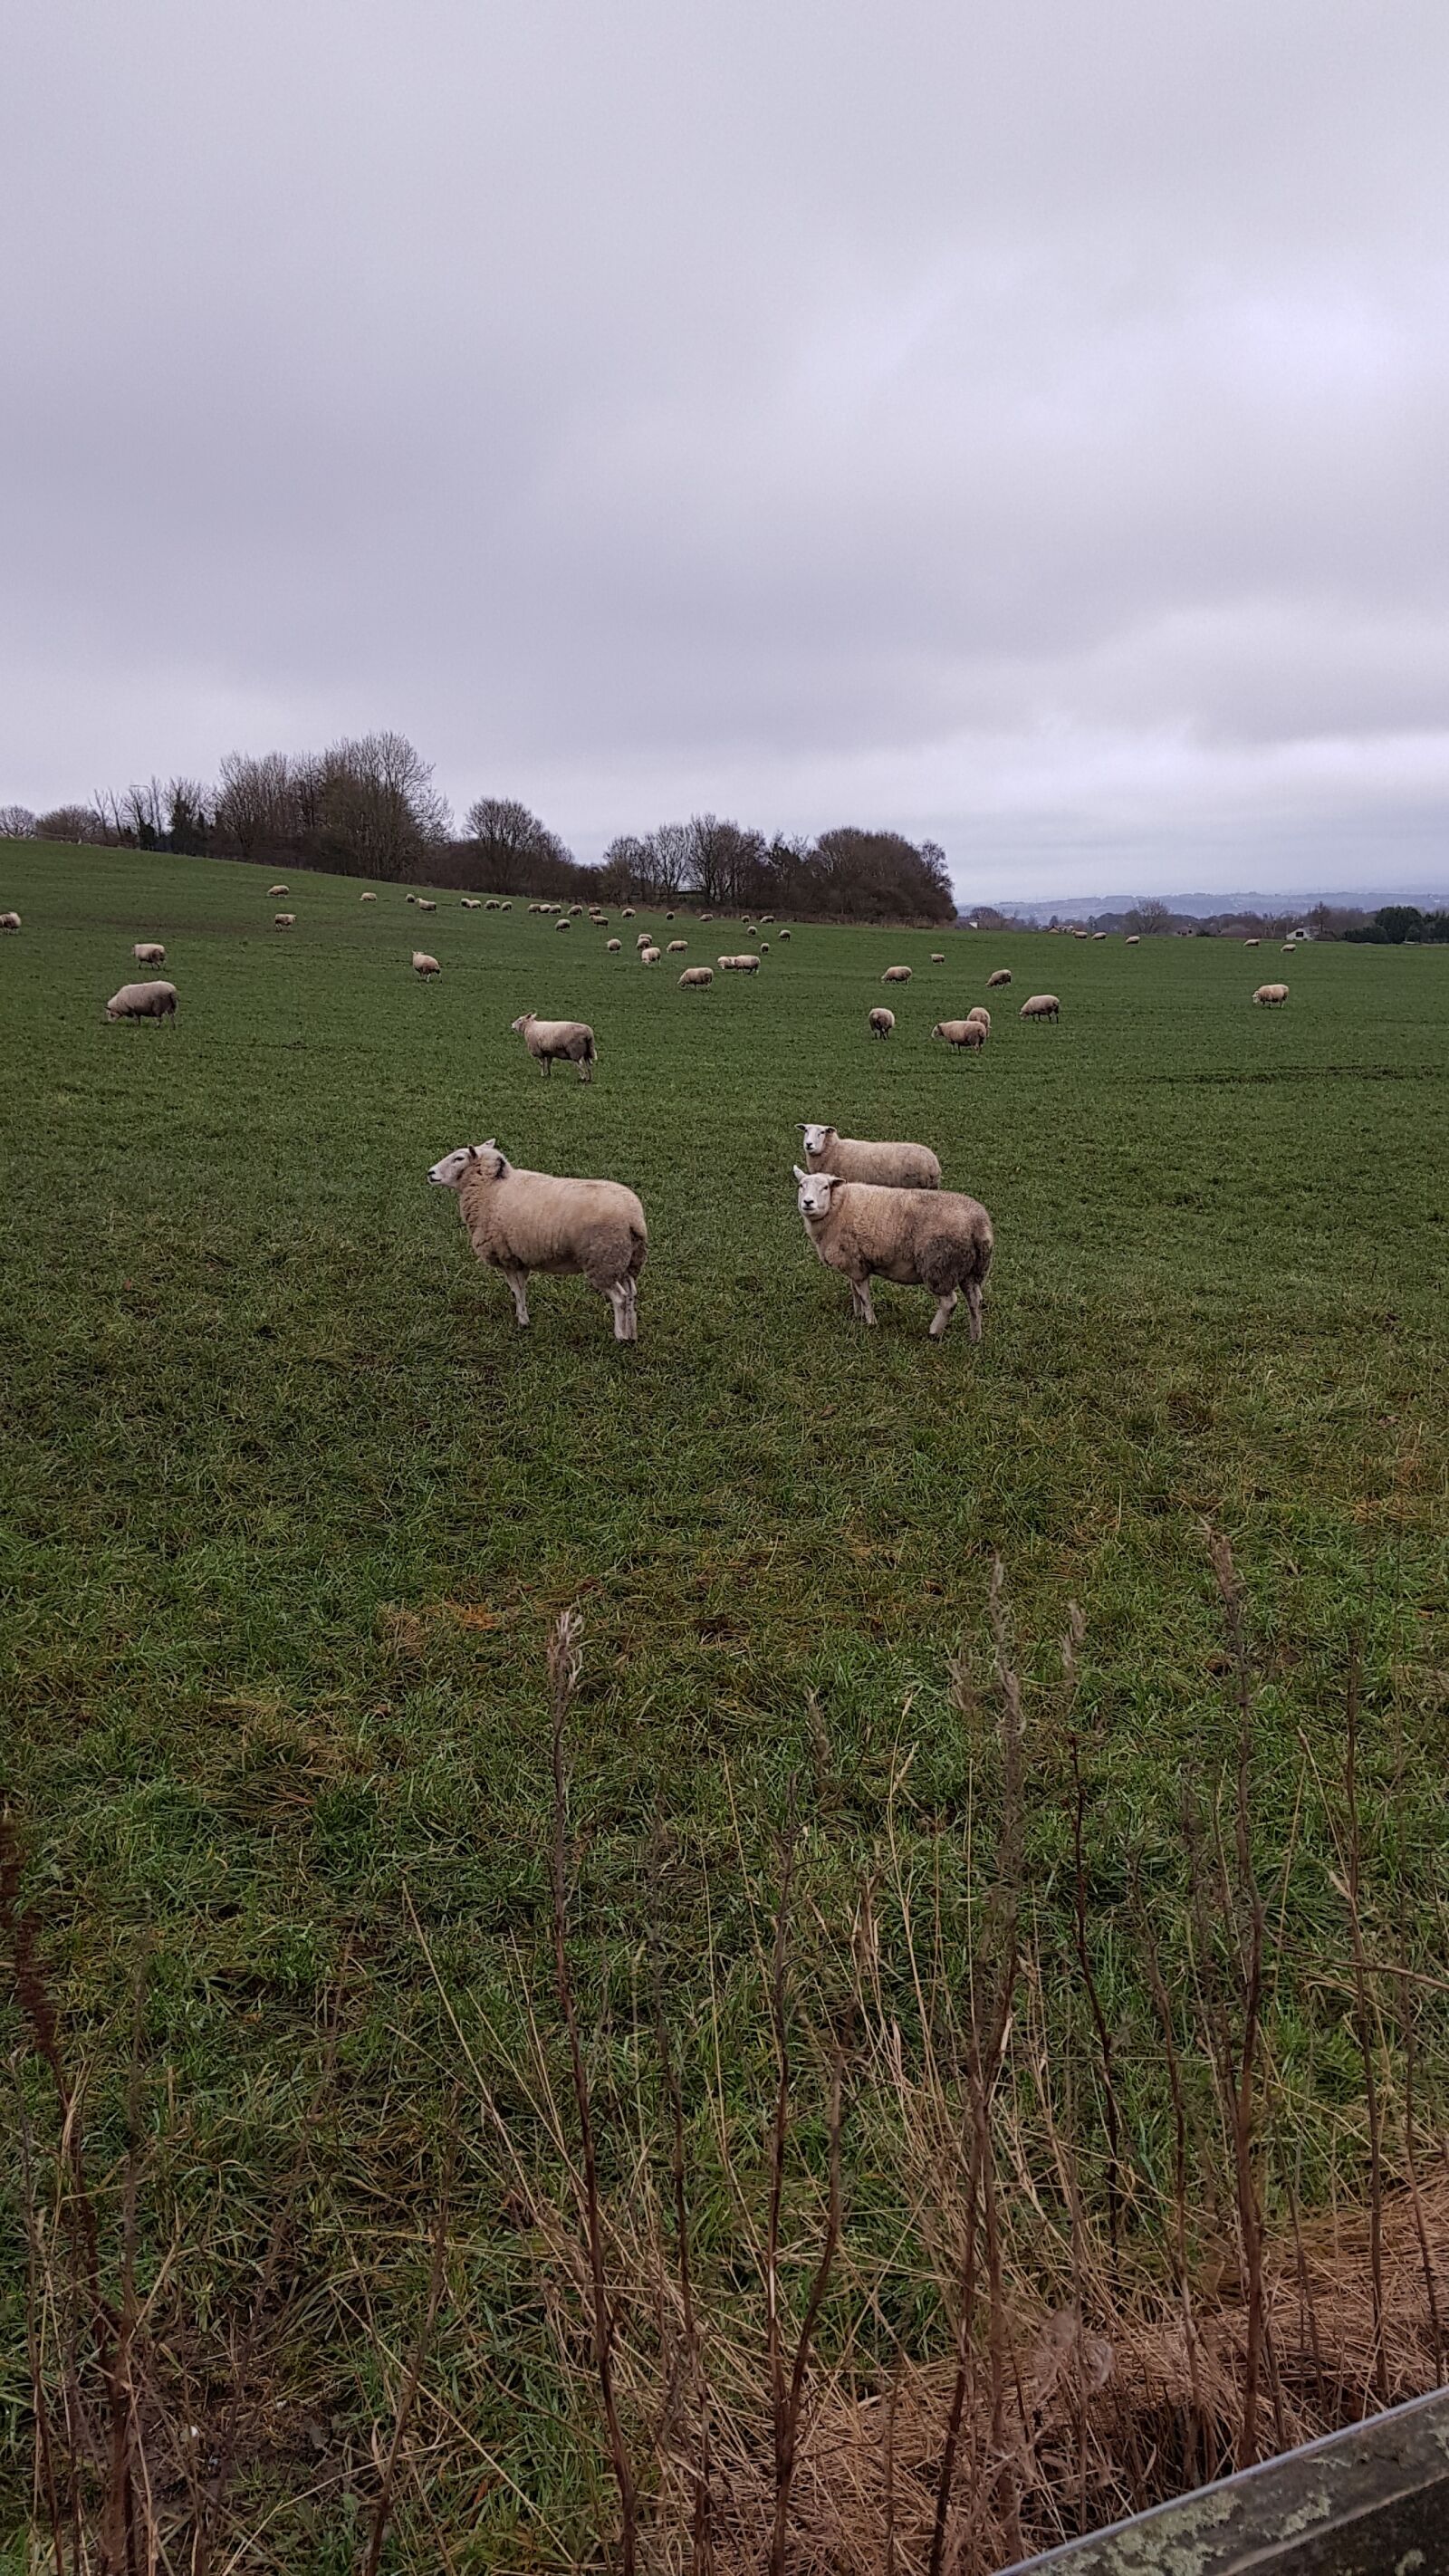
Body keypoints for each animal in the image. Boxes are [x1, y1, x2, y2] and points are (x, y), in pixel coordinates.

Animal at [430, 1140, 646, 1341]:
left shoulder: (507, 1256)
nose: (430, 1173)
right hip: (627, 1259)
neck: (491, 1188)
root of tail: (634, 1217)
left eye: (459, 1158)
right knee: (631, 1294)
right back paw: (632, 1334)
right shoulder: (519, 1258)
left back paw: (620, 1335)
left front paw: (522, 1321)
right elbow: (521, 1289)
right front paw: (523, 1317)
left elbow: (516, 1290)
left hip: (603, 1260)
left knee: (619, 1298)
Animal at [793, 1167, 992, 1341]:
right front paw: (857, 1315)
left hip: (940, 1266)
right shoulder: (852, 1261)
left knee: (950, 1302)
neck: (838, 1206)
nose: (808, 1202)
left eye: (825, 1187)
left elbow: (864, 1296)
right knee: (975, 1300)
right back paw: (975, 1337)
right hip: (969, 1269)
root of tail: (980, 1225)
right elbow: (854, 1291)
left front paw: (870, 1322)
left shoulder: (856, 1264)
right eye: (801, 1185)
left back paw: (933, 1333)